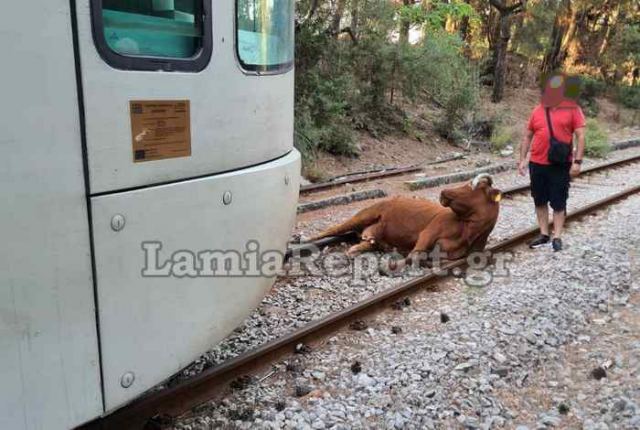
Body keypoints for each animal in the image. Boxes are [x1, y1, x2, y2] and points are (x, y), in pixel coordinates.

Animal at [310, 174, 500, 262]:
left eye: (472, 187)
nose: (443, 192)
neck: (466, 231)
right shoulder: (428, 233)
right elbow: (414, 256)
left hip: (375, 234)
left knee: (368, 242)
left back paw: (355, 249)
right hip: (364, 214)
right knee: (332, 229)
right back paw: (307, 240)